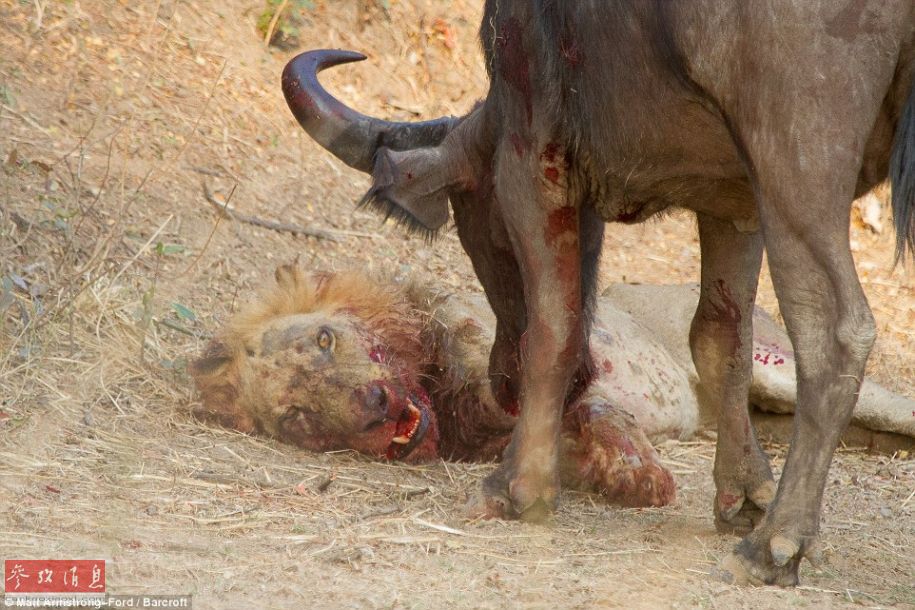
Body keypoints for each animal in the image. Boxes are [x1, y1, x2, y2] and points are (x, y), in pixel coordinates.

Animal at [191, 265, 915, 510]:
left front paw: (640, 478)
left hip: (774, 367)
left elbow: (600, 411)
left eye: (324, 339)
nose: (371, 408)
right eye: (298, 419)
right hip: (757, 412)